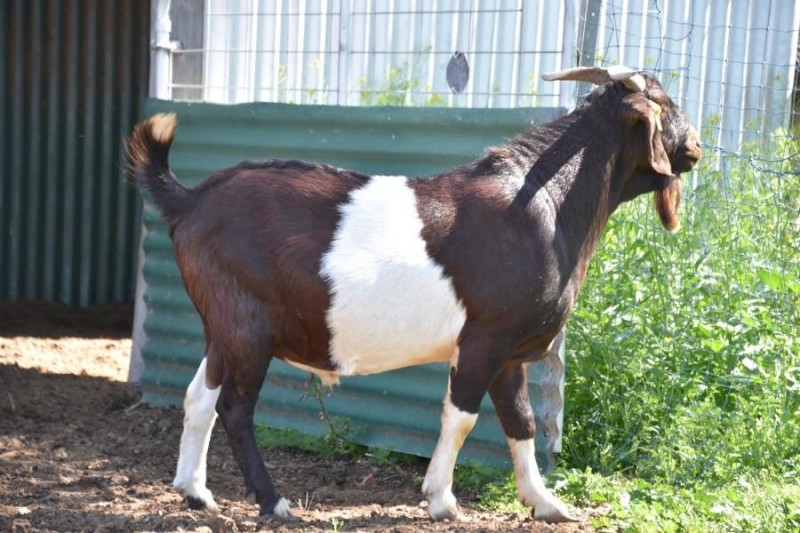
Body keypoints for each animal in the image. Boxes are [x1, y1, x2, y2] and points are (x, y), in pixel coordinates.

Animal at [126, 64, 700, 520]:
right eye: (666, 104)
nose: (694, 146)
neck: (547, 203)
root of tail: (191, 200)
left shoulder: (512, 353)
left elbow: (521, 422)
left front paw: (546, 503)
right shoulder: (485, 338)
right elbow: (462, 416)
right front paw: (442, 500)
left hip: (222, 325)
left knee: (200, 395)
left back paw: (196, 493)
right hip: (248, 326)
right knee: (236, 408)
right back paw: (274, 503)